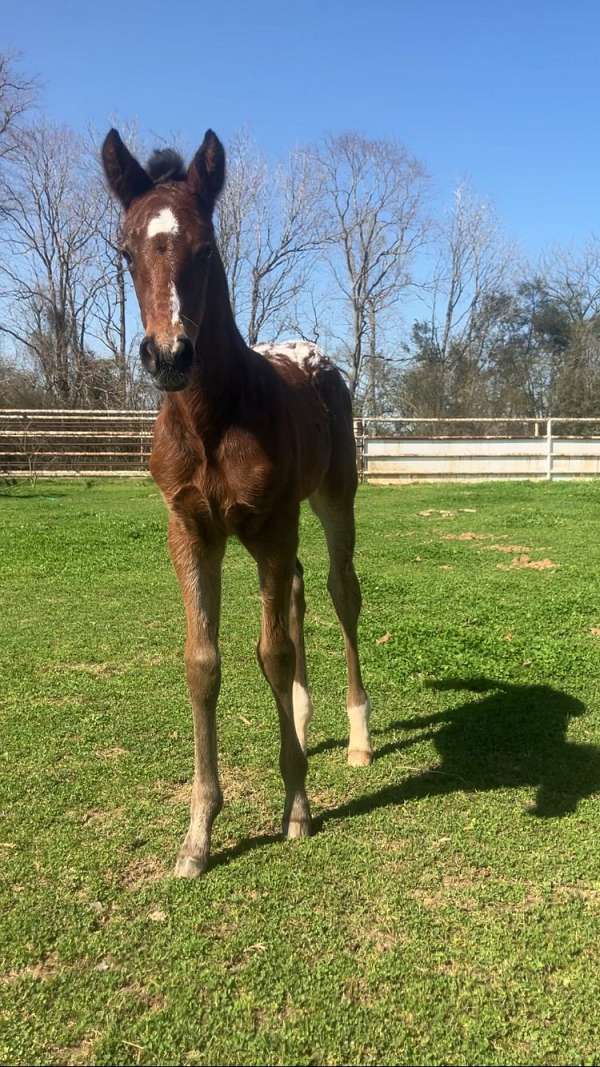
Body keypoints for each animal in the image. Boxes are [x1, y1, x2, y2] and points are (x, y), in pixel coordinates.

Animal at [100, 129, 371, 874]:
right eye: (125, 250)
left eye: (206, 248)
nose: (169, 355)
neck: (210, 421)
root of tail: (310, 351)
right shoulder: (192, 531)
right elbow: (204, 663)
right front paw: (197, 835)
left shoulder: (272, 524)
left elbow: (269, 652)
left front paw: (298, 808)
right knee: (301, 591)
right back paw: (303, 719)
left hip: (332, 500)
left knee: (340, 592)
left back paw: (359, 737)